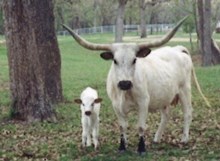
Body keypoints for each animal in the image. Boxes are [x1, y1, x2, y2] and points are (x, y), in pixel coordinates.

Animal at [63, 16, 210, 155]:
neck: (125, 93)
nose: (125, 83)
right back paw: (157, 138)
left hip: (185, 90)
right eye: (115, 61)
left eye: (134, 60)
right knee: (166, 115)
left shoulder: (143, 102)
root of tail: (177, 49)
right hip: (163, 96)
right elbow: (122, 126)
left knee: (187, 113)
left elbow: (140, 127)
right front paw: (123, 146)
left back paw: (184, 139)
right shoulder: (116, 105)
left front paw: (141, 148)